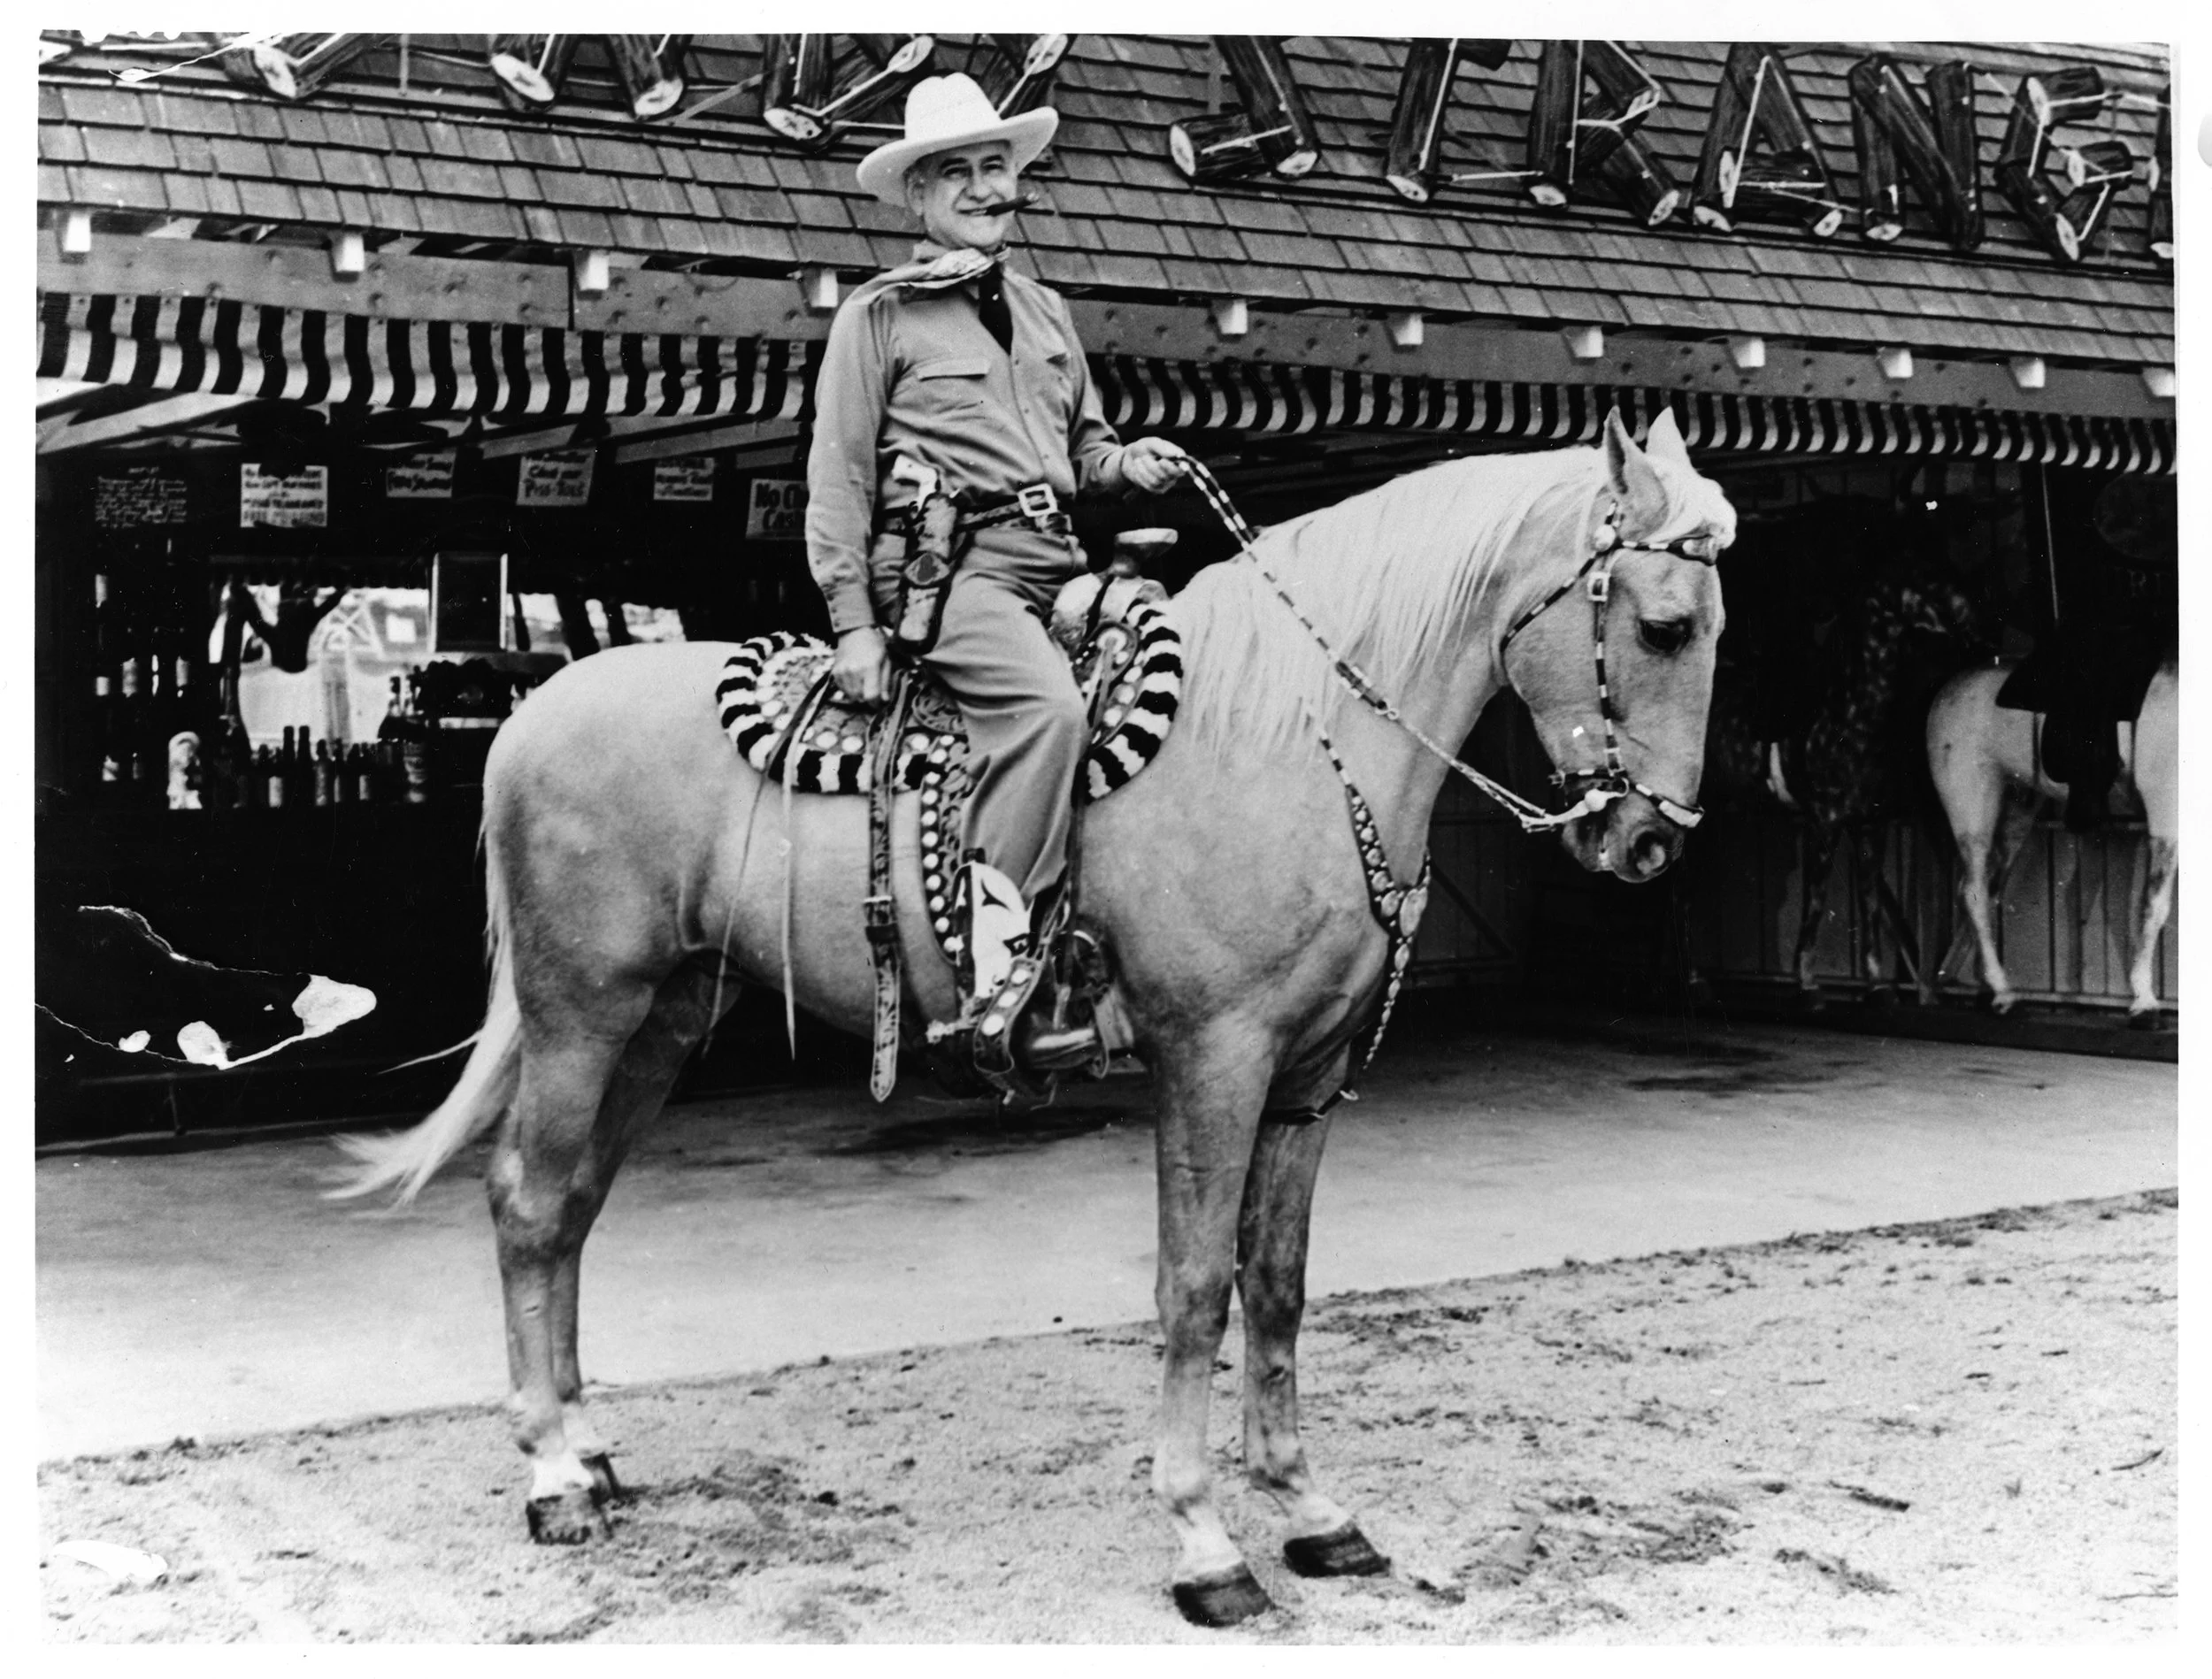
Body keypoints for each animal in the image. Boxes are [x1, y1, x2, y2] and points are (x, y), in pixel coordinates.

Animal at [330, 408, 1736, 1628]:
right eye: (1665, 625)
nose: (1652, 842)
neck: (1289, 733)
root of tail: (530, 711)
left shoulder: (1309, 1078)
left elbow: (1279, 1285)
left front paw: (1307, 1507)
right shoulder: (1213, 1060)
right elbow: (1195, 1288)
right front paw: (1206, 1539)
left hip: (665, 1017)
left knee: (575, 1204)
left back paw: (587, 1445)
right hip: (581, 1009)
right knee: (526, 1199)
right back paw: (551, 1477)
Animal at [1925, 658, 2178, 1021]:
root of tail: (1948, 689)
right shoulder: (2164, 813)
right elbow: (2154, 906)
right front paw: (2144, 1002)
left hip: (2017, 811)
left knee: (1987, 891)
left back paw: (1991, 988)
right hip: (1971, 810)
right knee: (1973, 893)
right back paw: (2003, 995)